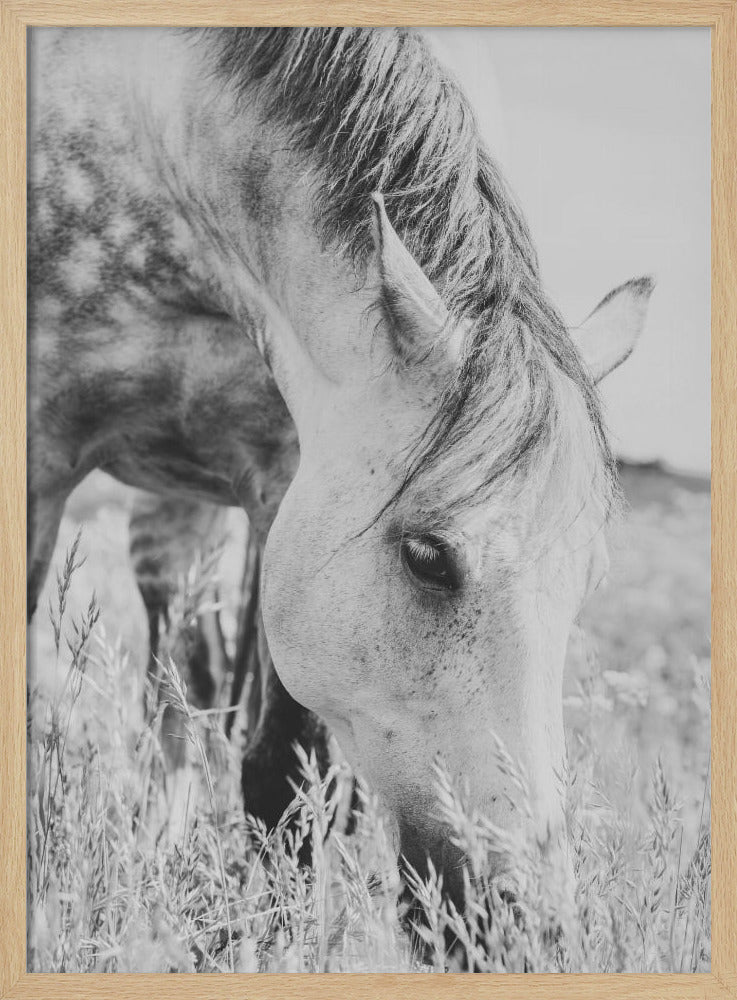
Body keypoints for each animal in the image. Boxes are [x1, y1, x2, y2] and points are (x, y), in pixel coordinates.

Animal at [28, 26, 653, 915]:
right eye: (427, 557)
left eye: (587, 579)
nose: (523, 918)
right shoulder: (39, 459)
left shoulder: (285, 478)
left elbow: (282, 774)